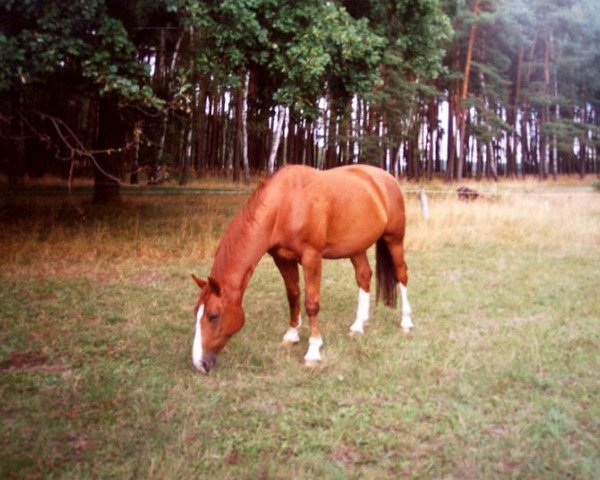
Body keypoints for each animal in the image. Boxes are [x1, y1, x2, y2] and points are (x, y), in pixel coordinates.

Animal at [192, 165, 412, 376]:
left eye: (213, 315)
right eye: (196, 312)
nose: (199, 364)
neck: (285, 204)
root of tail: (387, 179)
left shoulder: (311, 257)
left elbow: (311, 303)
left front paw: (313, 351)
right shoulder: (282, 258)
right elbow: (293, 295)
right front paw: (292, 335)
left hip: (394, 239)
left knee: (401, 274)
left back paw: (406, 322)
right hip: (356, 247)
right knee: (364, 276)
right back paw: (358, 326)